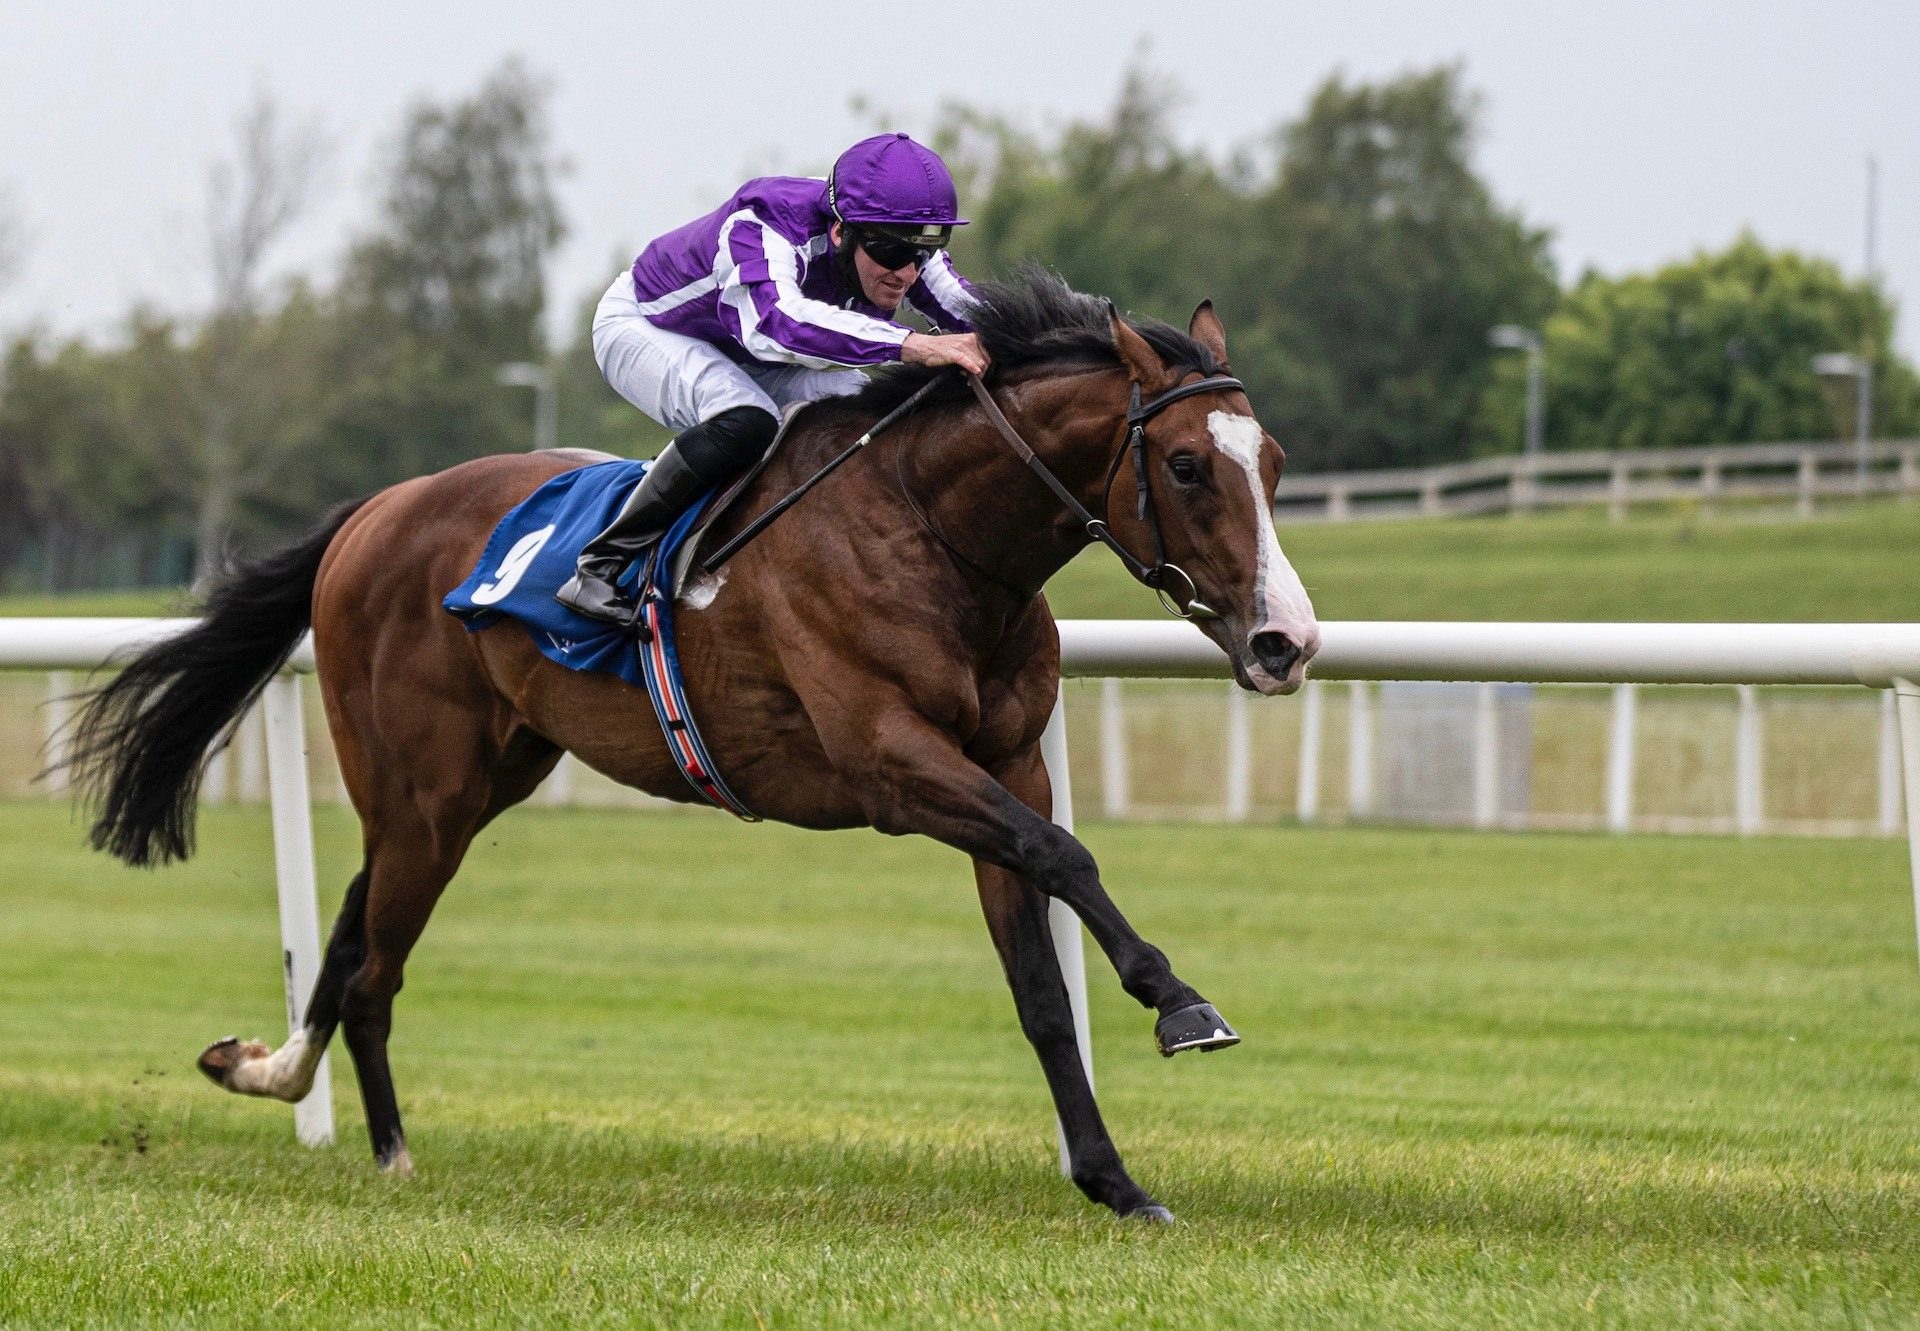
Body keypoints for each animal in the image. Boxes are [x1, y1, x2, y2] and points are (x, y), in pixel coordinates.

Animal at [78, 265, 1336, 1221]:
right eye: (1187, 465)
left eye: (1273, 462)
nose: (1287, 641)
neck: (933, 530)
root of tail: (373, 511)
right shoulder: (892, 762)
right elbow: (1068, 855)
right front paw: (1181, 1002)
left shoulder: (1006, 762)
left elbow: (1039, 983)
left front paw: (1115, 1180)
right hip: (423, 791)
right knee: (375, 959)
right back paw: (388, 1150)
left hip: (472, 783)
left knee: (350, 929)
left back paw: (270, 1069)